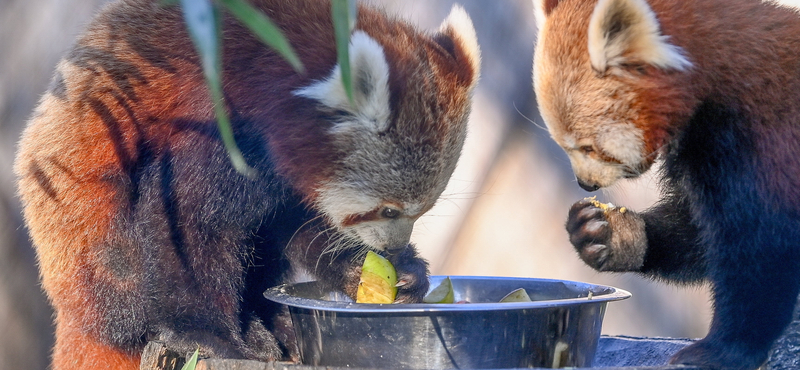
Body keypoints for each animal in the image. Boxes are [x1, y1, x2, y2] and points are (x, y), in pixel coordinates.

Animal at [14, 1, 482, 368]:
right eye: (388, 209)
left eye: (423, 209)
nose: (392, 247)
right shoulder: (214, 118)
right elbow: (186, 230)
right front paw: (210, 335)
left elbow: (300, 223)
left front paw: (389, 271)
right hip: (86, 233)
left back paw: (277, 325)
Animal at [536, 0, 800, 368]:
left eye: (587, 147)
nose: (585, 184)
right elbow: (694, 231)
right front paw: (610, 234)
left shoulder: (754, 139)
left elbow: (761, 250)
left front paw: (723, 349)